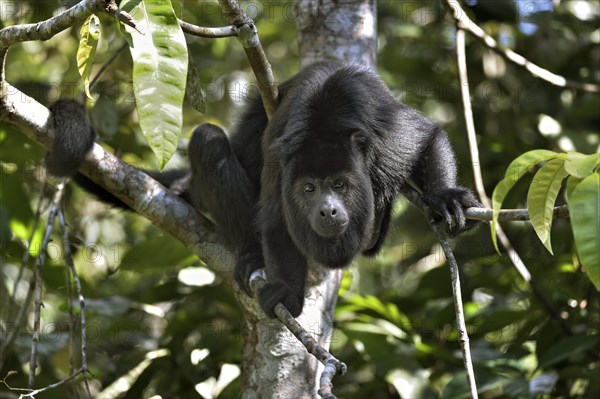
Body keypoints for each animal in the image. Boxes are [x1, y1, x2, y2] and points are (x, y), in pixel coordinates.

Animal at [47, 61, 480, 318]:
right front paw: (288, 291)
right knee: (207, 140)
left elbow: (426, 137)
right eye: (309, 189)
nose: (327, 210)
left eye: (339, 184)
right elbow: (274, 218)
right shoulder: (281, 158)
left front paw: (446, 194)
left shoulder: (386, 135)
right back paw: (251, 255)